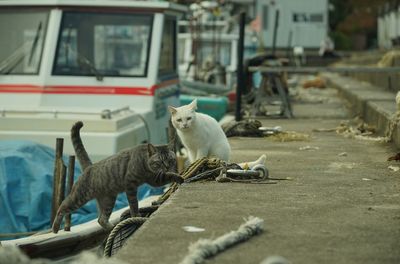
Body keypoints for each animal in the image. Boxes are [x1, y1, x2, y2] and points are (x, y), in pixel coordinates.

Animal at [51, 121, 183, 233]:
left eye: (170, 159)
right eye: (160, 161)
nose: (167, 166)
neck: (145, 162)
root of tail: (89, 167)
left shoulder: (154, 179)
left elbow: (170, 176)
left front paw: (179, 177)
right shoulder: (130, 185)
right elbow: (134, 204)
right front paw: (136, 216)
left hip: (108, 200)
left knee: (101, 219)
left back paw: (112, 227)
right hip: (79, 197)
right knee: (62, 207)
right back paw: (55, 227)